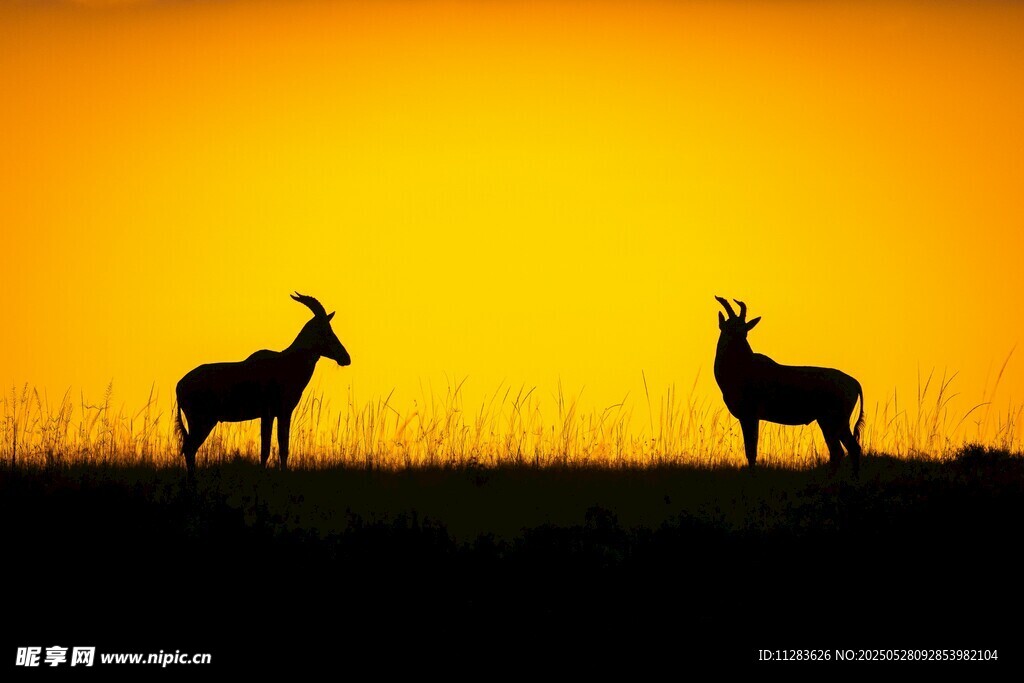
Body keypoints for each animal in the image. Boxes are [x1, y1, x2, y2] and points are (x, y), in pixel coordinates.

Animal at [175, 293, 351, 479]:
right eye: (325, 330)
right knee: (189, 448)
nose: (345, 358)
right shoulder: (271, 413)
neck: (286, 361)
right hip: (203, 421)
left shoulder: (280, 414)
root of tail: (179, 385)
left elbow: (282, 448)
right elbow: (267, 449)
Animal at [713, 297, 865, 477]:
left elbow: (751, 451)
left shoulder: (750, 416)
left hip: (832, 421)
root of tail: (854, 382)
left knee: (839, 450)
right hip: (833, 422)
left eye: (745, 331)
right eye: (730, 329)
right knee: (850, 449)